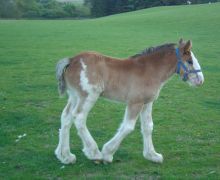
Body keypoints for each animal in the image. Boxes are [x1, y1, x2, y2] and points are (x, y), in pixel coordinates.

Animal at [54, 39, 205, 165]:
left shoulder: (147, 103)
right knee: (79, 117)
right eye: (190, 61)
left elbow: (148, 126)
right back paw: (94, 153)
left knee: (66, 117)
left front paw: (152, 155)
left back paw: (65, 156)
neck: (149, 70)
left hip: (74, 96)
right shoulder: (135, 102)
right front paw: (107, 153)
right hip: (89, 96)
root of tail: (72, 60)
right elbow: (128, 127)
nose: (201, 80)